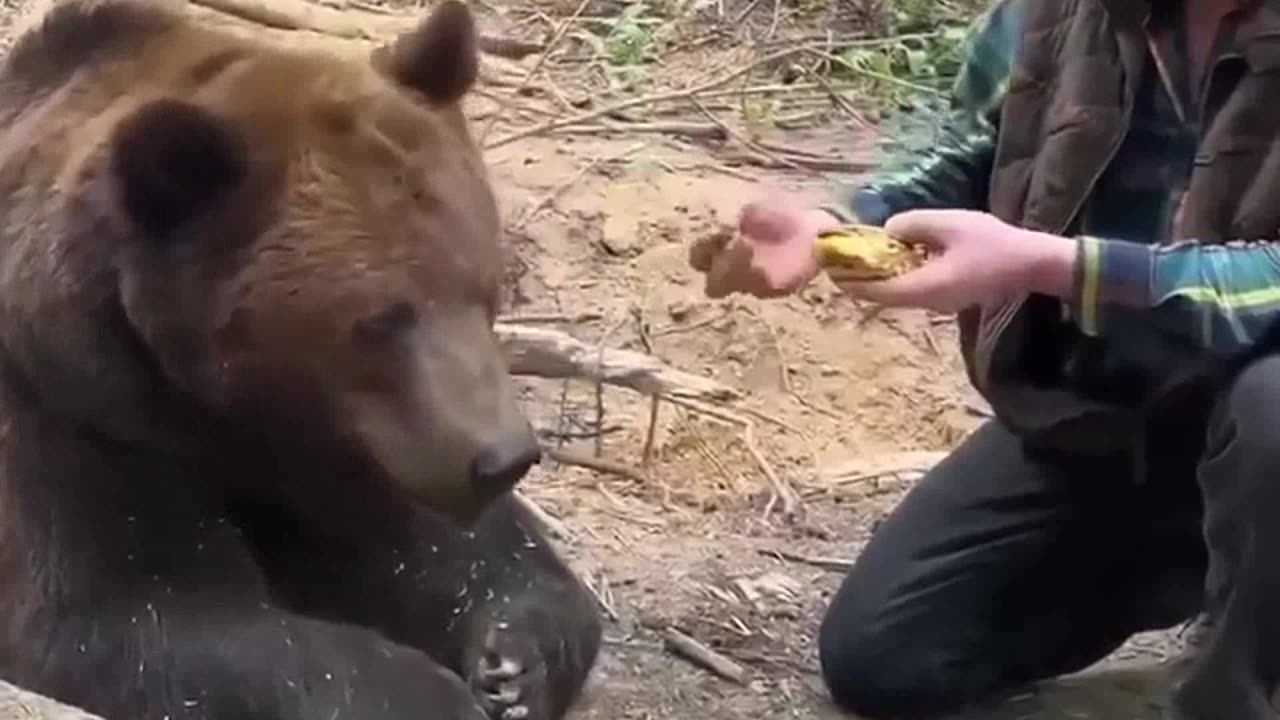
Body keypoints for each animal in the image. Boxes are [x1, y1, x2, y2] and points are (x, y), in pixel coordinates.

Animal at [0, 1, 601, 717]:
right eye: (381, 319)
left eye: (488, 288)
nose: (504, 458)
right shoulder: (78, 416)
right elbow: (134, 605)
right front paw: (433, 693)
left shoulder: (343, 448)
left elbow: (443, 545)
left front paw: (513, 659)